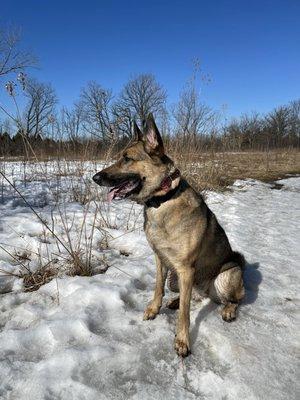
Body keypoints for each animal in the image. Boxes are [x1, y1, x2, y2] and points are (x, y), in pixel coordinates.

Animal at [92, 114, 245, 358]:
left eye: (127, 158)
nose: (95, 177)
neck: (163, 199)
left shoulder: (185, 268)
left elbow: (185, 314)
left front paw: (182, 340)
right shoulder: (160, 259)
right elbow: (158, 287)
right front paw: (154, 309)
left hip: (228, 274)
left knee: (235, 298)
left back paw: (229, 310)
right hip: (178, 279)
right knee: (188, 296)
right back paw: (175, 301)